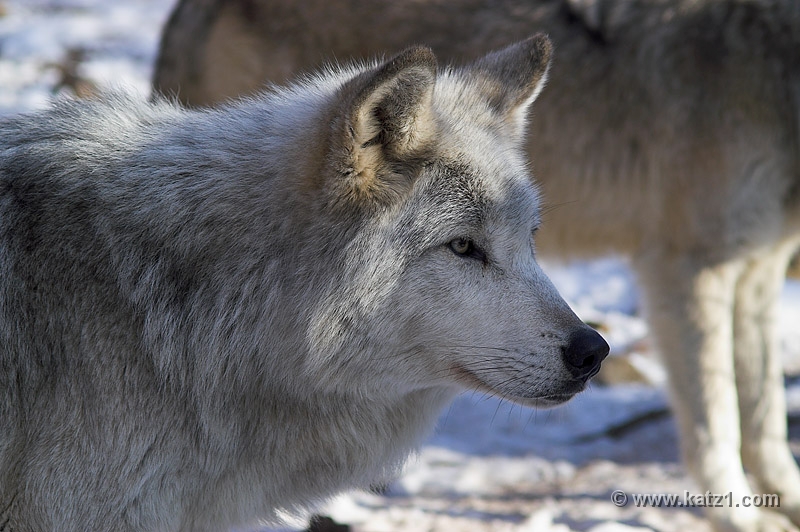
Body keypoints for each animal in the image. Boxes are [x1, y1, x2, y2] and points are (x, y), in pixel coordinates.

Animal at [151, 1, 800, 531]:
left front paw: (783, 498)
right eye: (464, 248)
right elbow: (718, 416)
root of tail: (188, 10)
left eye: (529, 238)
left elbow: (763, 407)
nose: (594, 351)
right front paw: (740, 517)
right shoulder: (689, 267)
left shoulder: (760, 269)